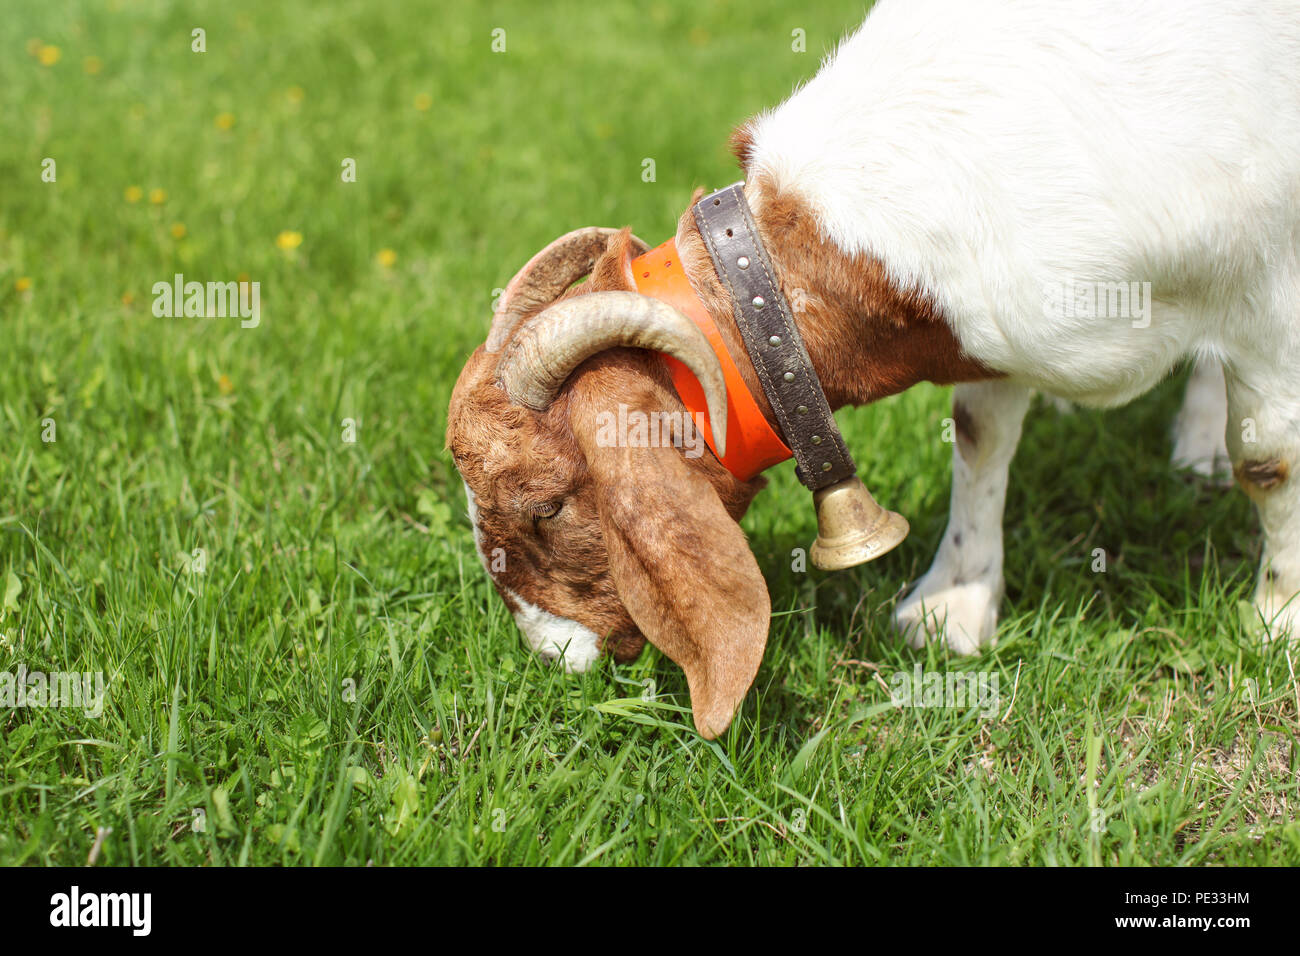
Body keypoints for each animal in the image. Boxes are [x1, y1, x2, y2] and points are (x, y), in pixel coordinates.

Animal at [447, 0, 1300, 738]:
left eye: (546, 507)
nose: (551, 656)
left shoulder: (1270, 294)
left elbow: (1271, 457)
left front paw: (1279, 623)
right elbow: (980, 434)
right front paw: (952, 607)